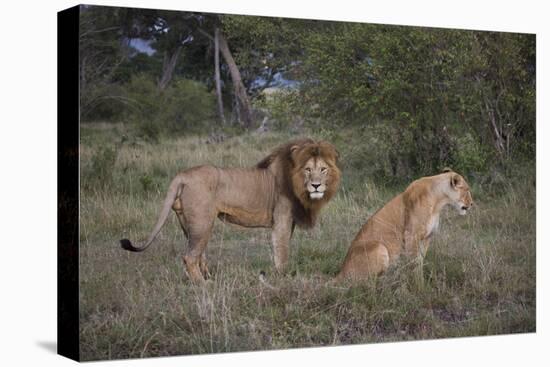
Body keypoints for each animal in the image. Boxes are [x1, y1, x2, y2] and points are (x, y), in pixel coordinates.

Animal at [119, 139, 340, 284]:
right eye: (308, 169)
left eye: (323, 169)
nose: (316, 186)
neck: (297, 184)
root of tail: (182, 175)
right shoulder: (282, 219)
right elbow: (282, 250)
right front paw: (283, 277)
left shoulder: (288, 221)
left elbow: (282, 248)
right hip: (203, 221)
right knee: (190, 257)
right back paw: (203, 285)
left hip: (188, 223)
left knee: (198, 254)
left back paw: (208, 277)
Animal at [336, 170, 474, 282]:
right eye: (467, 190)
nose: (472, 204)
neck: (438, 202)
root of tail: (340, 272)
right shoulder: (412, 236)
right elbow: (414, 263)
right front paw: (416, 284)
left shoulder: (427, 237)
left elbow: (420, 261)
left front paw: (420, 280)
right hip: (379, 247)